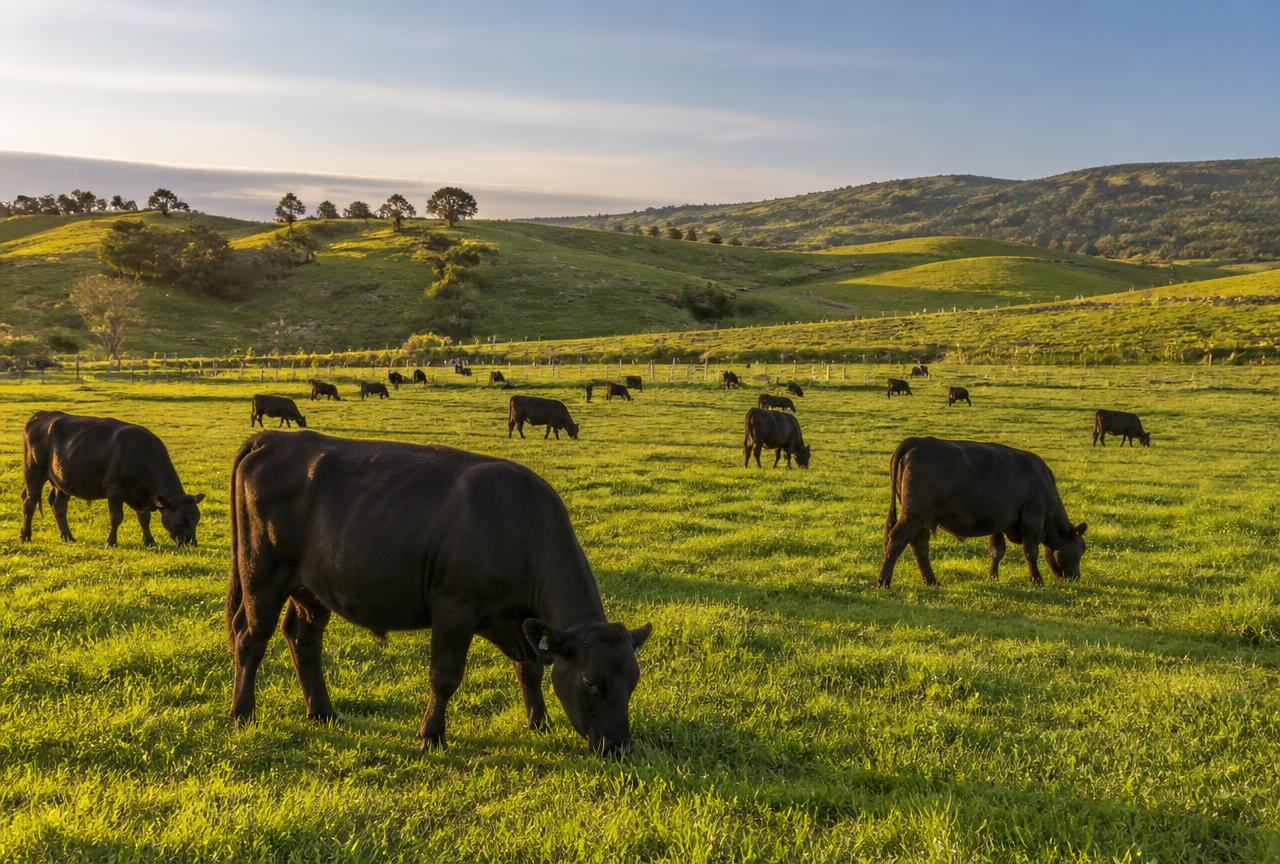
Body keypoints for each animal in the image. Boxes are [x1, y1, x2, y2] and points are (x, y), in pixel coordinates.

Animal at [21, 410, 205, 547]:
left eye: (197, 517)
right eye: (181, 519)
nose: (191, 543)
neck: (142, 454)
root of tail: (41, 415)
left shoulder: (143, 496)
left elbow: (144, 518)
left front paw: (149, 541)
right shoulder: (114, 491)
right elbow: (116, 517)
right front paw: (111, 541)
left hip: (61, 481)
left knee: (58, 505)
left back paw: (67, 536)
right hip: (34, 472)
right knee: (30, 502)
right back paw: (25, 535)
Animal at [226, 431, 651, 754]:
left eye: (633, 681)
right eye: (590, 682)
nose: (620, 747)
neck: (515, 524)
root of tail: (274, 438)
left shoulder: (519, 623)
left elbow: (529, 668)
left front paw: (538, 721)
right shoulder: (454, 609)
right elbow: (445, 675)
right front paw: (431, 735)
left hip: (311, 587)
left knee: (303, 638)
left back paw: (322, 712)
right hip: (262, 575)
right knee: (250, 638)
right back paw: (241, 713)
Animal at [877, 437, 1088, 588]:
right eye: (1081, 549)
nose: (1076, 578)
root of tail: (918, 441)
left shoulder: (999, 521)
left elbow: (997, 550)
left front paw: (993, 577)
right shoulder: (1032, 519)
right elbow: (1031, 552)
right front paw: (1036, 580)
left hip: (921, 518)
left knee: (918, 544)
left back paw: (931, 580)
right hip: (914, 515)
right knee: (897, 539)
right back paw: (883, 581)